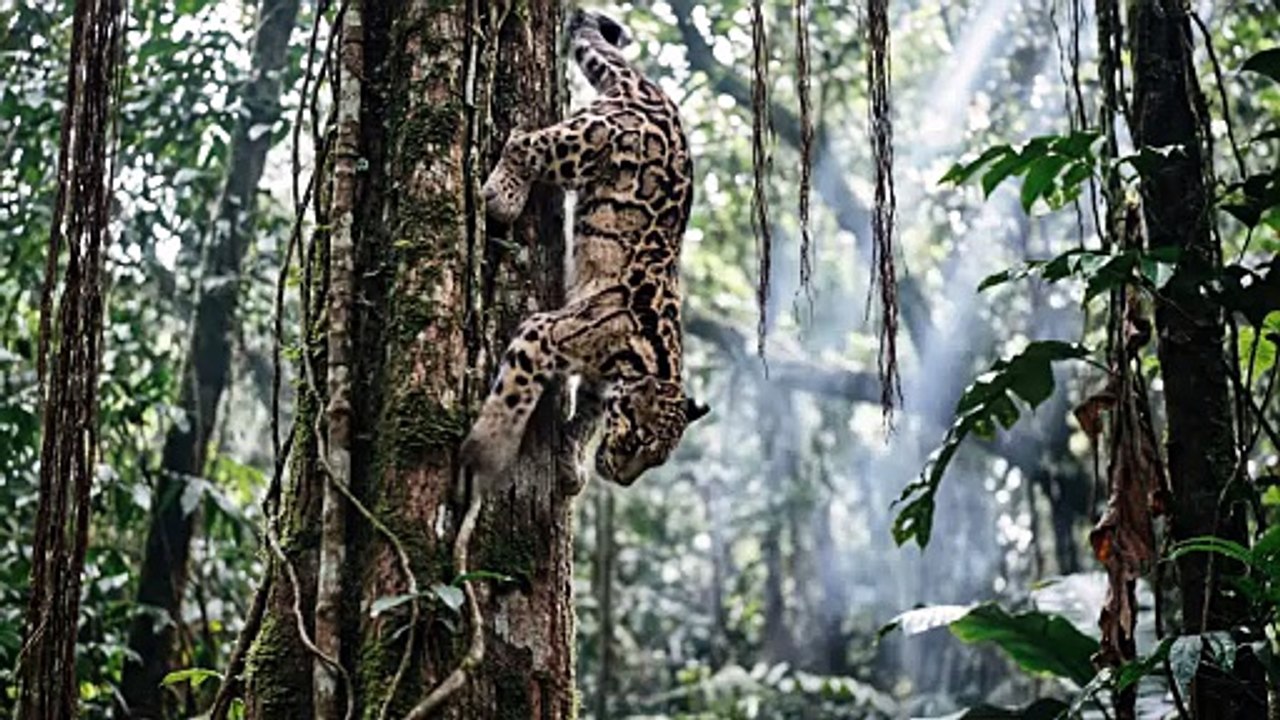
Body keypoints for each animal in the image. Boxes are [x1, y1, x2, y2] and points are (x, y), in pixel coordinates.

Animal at [459, 8, 708, 492]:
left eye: (657, 461)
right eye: (639, 439)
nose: (624, 482)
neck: (649, 361)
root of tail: (655, 94)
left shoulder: (597, 382)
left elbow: (589, 418)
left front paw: (571, 462)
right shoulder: (544, 332)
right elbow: (514, 394)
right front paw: (488, 451)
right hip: (594, 138)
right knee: (525, 141)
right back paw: (504, 196)